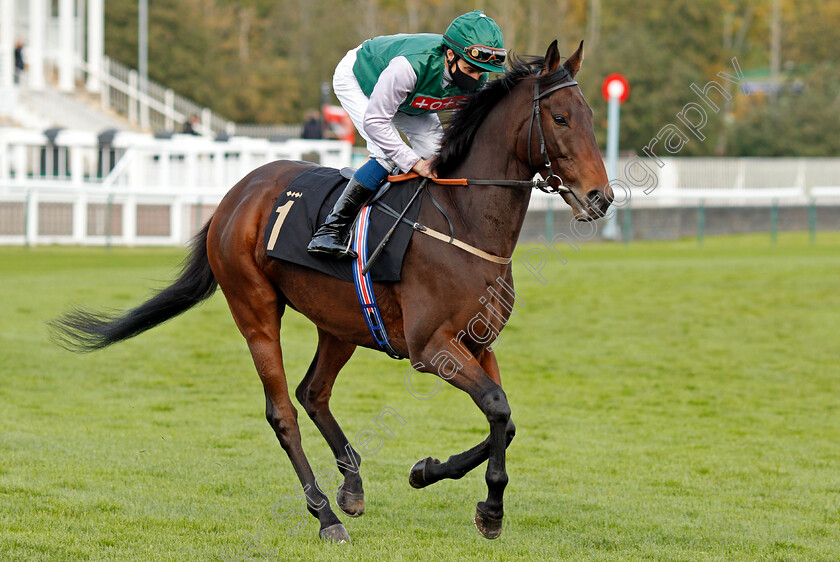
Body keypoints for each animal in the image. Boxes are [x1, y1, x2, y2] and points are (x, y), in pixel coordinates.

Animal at [52, 39, 612, 540]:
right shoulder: (433, 348)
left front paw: (429, 473)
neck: (463, 221)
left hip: (341, 321)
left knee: (313, 393)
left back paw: (352, 486)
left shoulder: (477, 343)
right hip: (255, 308)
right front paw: (490, 510)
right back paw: (325, 515)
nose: (601, 197)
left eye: (590, 116)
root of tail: (237, 194)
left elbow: (506, 421)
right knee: (283, 412)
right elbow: (497, 406)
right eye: (561, 118)